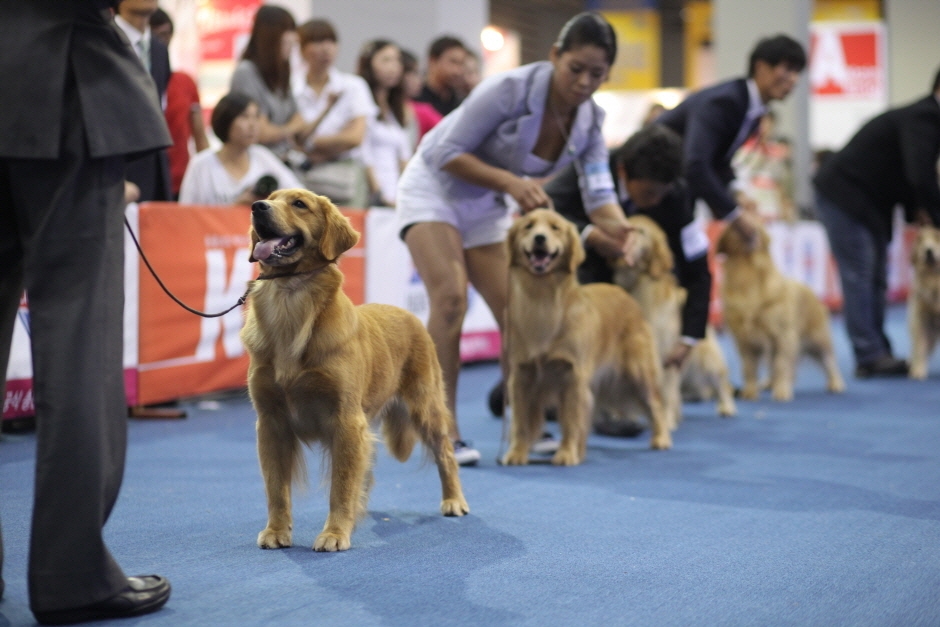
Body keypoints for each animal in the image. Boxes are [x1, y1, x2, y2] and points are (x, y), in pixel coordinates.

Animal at [239, 189, 466, 552]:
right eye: (271, 197)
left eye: (299, 204)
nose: (257, 206)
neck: (292, 299)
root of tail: (409, 315)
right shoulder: (271, 422)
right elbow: (276, 486)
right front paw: (276, 530)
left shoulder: (345, 420)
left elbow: (341, 486)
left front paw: (334, 533)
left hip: (424, 406)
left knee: (445, 453)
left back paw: (454, 500)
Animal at [506, 209, 668, 464]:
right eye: (528, 226)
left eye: (555, 228)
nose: (540, 238)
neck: (543, 301)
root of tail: (626, 295)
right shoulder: (522, 374)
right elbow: (521, 422)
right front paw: (516, 453)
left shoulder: (572, 374)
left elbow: (571, 420)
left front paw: (566, 453)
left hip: (637, 371)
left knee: (655, 403)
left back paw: (661, 438)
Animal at [612, 213, 740, 420]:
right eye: (624, 226)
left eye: (641, 231)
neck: (640, 285)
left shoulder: (666, 354)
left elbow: (665, 391)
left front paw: (666, 418)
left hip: (706, 361)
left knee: (722, 383)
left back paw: (726, 407)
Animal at [716, 223, 848, 400]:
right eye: (734, 227)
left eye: (755, 224)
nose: (751, 231)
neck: (748, 276)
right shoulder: (745, 340)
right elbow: (749, 368)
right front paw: (750, 391)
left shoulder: (783, 335)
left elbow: (782, 365)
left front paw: (782, 391)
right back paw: (768, 383)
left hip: (817, 339)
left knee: (829, 361)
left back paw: (835, 383)